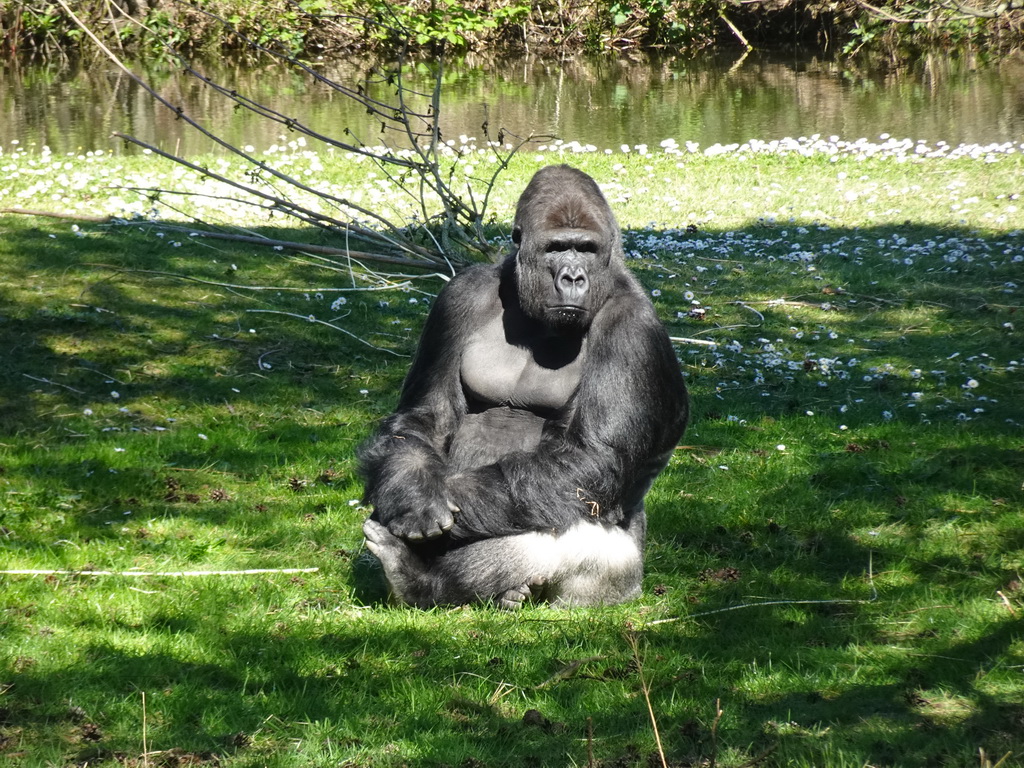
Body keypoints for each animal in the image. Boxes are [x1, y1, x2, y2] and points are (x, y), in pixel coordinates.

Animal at [360, 165, 688, 610]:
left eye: (586, 249)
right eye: (556, 248)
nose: (573, 277)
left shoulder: (632, 328)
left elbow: (590, 460)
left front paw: (417, 504)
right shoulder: (458, 296)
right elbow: (424, 415)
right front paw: (408, 489)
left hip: (620, 583)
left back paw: (419, 581)